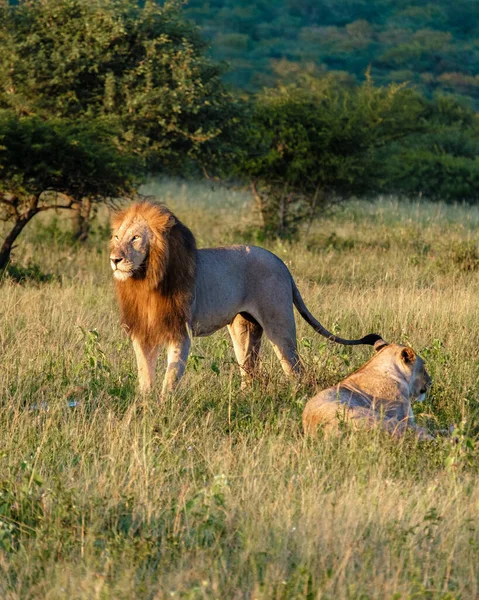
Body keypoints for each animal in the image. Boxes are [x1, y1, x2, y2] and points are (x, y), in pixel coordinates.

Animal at [109, 202, 382, 398]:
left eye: (135, 238)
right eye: (117, 238)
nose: (114, 259)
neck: (145, 280)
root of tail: (280, 262)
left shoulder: (180, 331)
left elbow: (172, 373)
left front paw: (165, 404)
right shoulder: (142, 331)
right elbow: (145, 373)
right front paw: (145, 403)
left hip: (279, 324)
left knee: (294, 367)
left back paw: (297, 397)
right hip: (244, 328)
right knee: (249, 369)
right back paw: (245, 398)